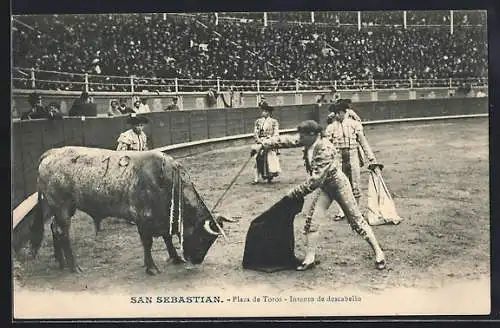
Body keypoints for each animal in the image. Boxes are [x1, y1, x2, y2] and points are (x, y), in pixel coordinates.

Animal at [29, 146, 236, 274]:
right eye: (202, 237)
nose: (196, 260)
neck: (166, 182)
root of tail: (51, 153)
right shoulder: (143, 219)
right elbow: (148, 243)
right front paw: (151, 268)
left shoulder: (163, 217)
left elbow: (167, 238)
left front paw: (175, 258)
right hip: (61, 206)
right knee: (63, 232)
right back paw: (74, 267)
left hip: (61, 207)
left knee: (55, 229)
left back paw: (61, 262)